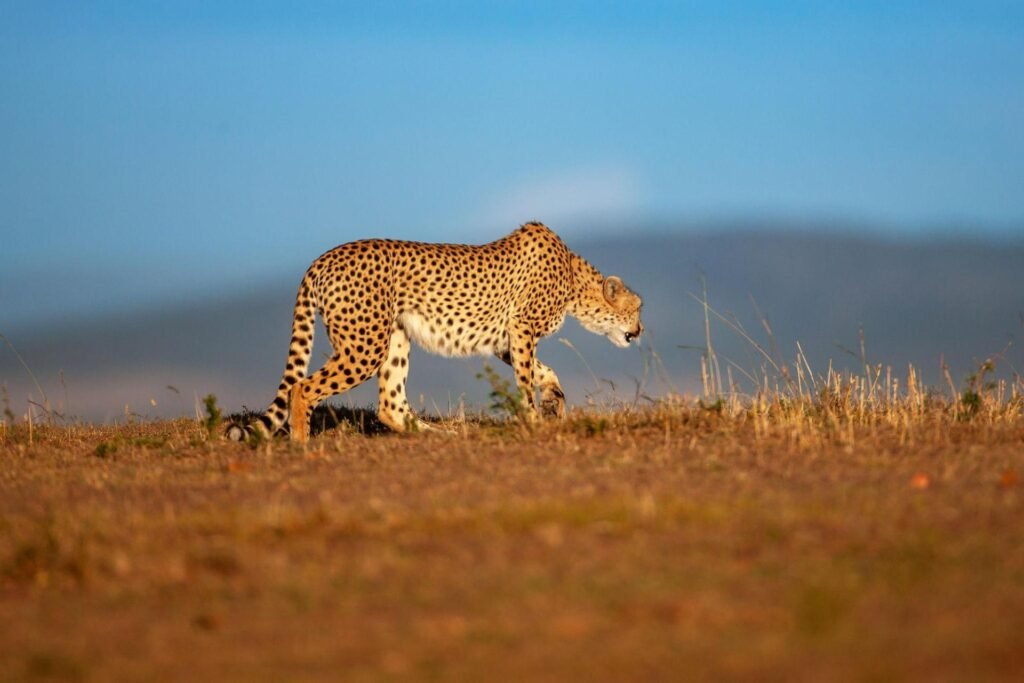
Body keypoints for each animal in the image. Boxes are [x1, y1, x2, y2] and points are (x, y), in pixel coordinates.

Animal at [227, 222, 643, 443]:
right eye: (638, 307)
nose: (639, 331)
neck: (574, 279)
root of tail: (322, 258)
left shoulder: (505, 339)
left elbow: (543, 371)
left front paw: (555, 399)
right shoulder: (522, 328)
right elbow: (527, 379)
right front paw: (534, 419)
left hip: (394, 338)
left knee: (391, 404)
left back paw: (439, 434)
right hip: (364, 346)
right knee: (301, 387)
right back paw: (302, 444)